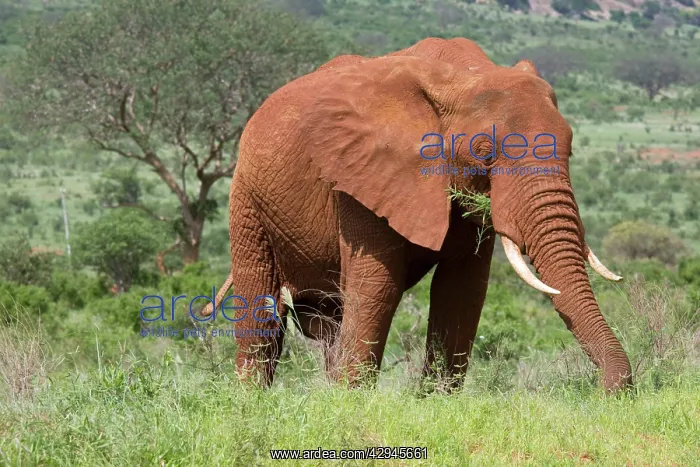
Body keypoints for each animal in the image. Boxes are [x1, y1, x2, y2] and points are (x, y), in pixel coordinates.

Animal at [201, 38, 633, 392]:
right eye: (483, 154)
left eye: (570, 148)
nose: (610, 392)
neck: (464, 75)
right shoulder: (363, 174)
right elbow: (378, 283)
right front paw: (351, 403)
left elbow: (462, 287)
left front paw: (435, 401)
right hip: (247, 193)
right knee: (263, 309)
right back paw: (253, 401)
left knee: (327, 320)